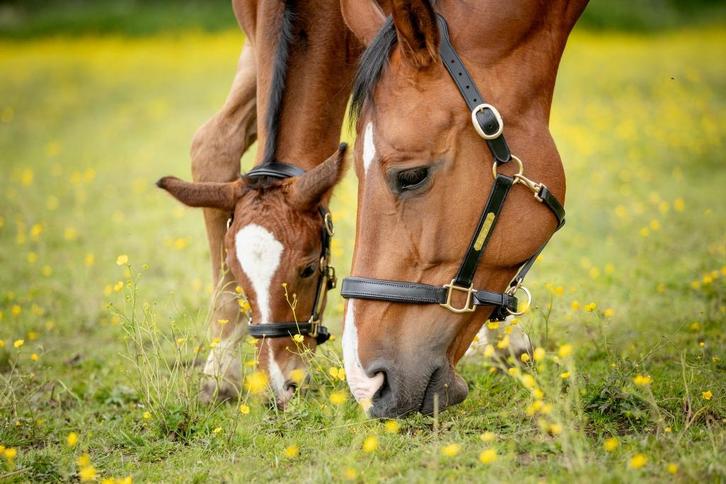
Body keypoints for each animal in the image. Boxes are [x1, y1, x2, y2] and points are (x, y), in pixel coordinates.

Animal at [158, 0, 361, 407]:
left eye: (309, 269)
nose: (278, 385)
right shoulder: (254, 40)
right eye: (235, 272)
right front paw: (220, 374)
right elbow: (212, 143)